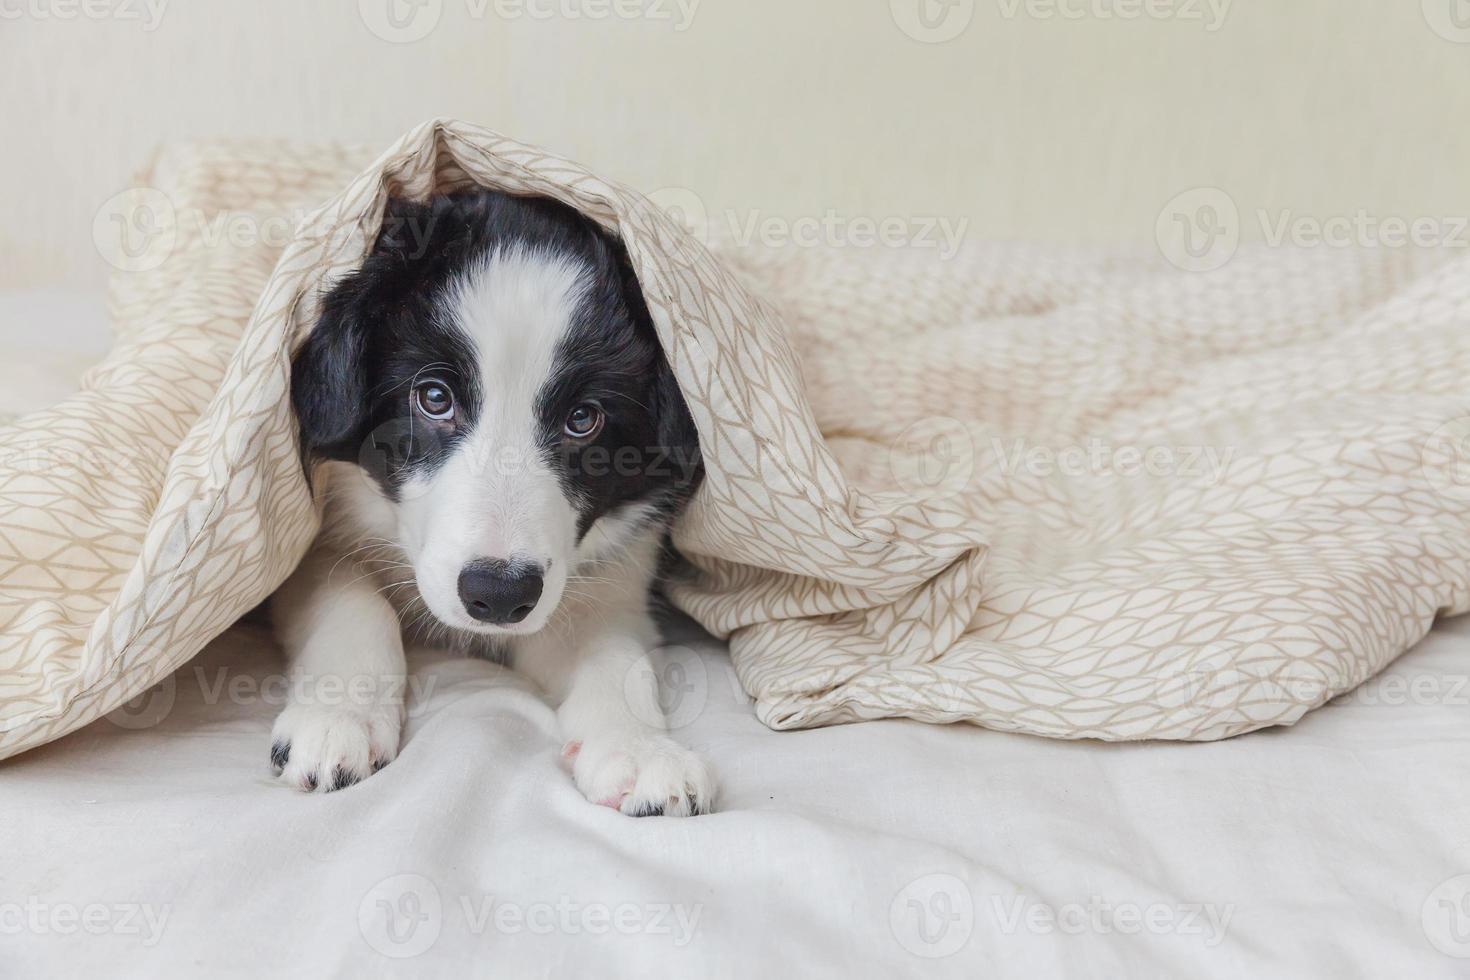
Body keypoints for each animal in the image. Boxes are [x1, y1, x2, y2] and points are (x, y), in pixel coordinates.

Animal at [276, 188, 717, 816]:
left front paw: (639, 748)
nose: (501, 594)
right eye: (434, 398)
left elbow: (612, 653)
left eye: (583, 418)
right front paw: (339, 716)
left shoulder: (610, 577)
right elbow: (353, 595)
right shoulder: (310, 534)